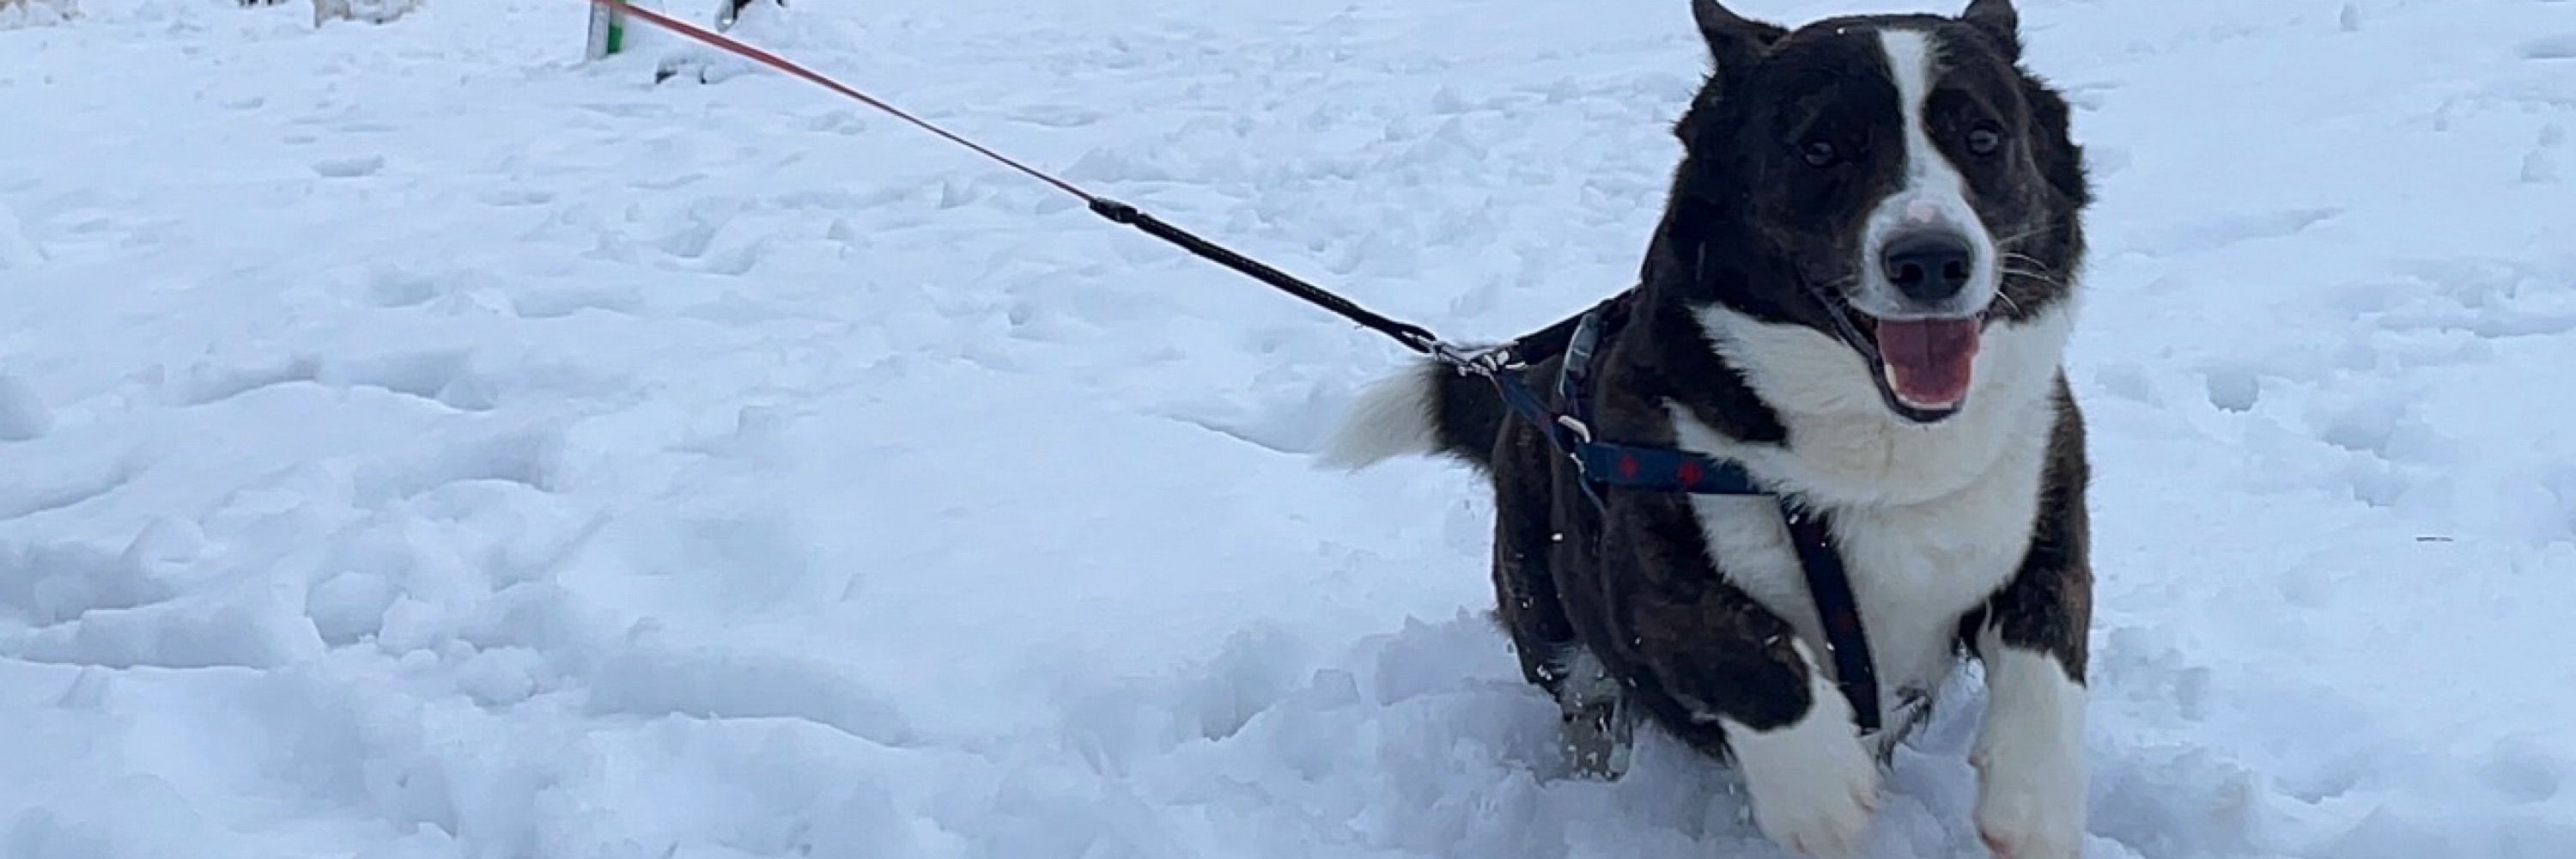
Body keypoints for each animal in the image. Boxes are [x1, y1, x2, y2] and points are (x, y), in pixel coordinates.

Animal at [1320, 1, 2093, 857]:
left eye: (1984, 138)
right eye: (1820, 148)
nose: (1931, 259)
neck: (1880, 449)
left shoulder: (2050, 498)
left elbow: (2048, 645)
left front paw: (2034, 802)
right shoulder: (1644, 543)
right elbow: (1744, 651)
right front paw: (1820, 797)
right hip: (1542, 595)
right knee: (1583, 701)